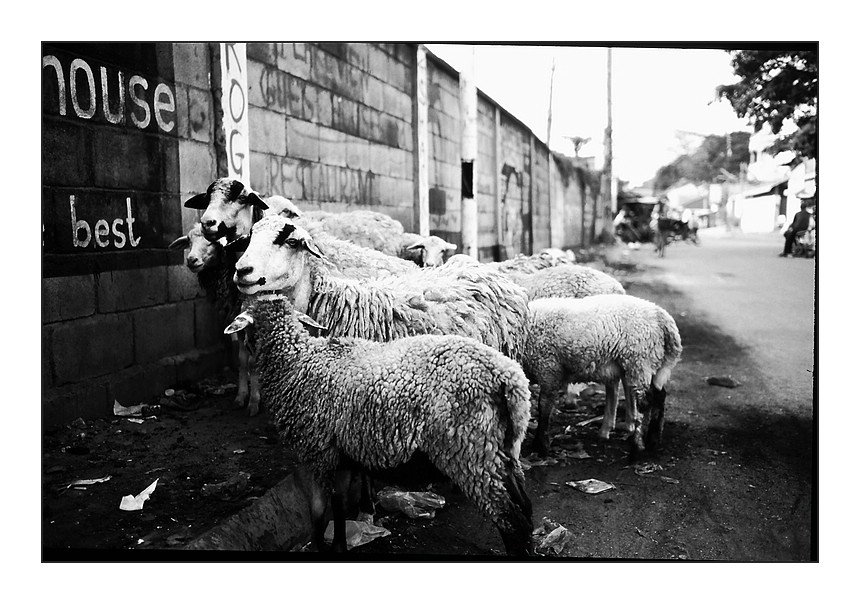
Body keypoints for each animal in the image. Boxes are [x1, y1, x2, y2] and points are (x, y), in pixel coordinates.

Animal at [225, 294, 536, 556]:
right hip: (501, 450)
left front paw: (321, 545)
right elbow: (339, 505)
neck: (297, 363)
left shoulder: (318, 453)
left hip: (470, 452)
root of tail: (508, 378)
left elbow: (319, 511)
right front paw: (340, 544)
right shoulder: (342, 455)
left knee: (511, 520)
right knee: (525, 508)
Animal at [520, 294, 680, 458]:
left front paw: (541, 446)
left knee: (645, 402)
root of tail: (660, 315)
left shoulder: (549, 369)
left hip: (639, 361)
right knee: (659, 396)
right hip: (651, 363)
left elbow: (544, 408)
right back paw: (653, 441)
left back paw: (637, 447)